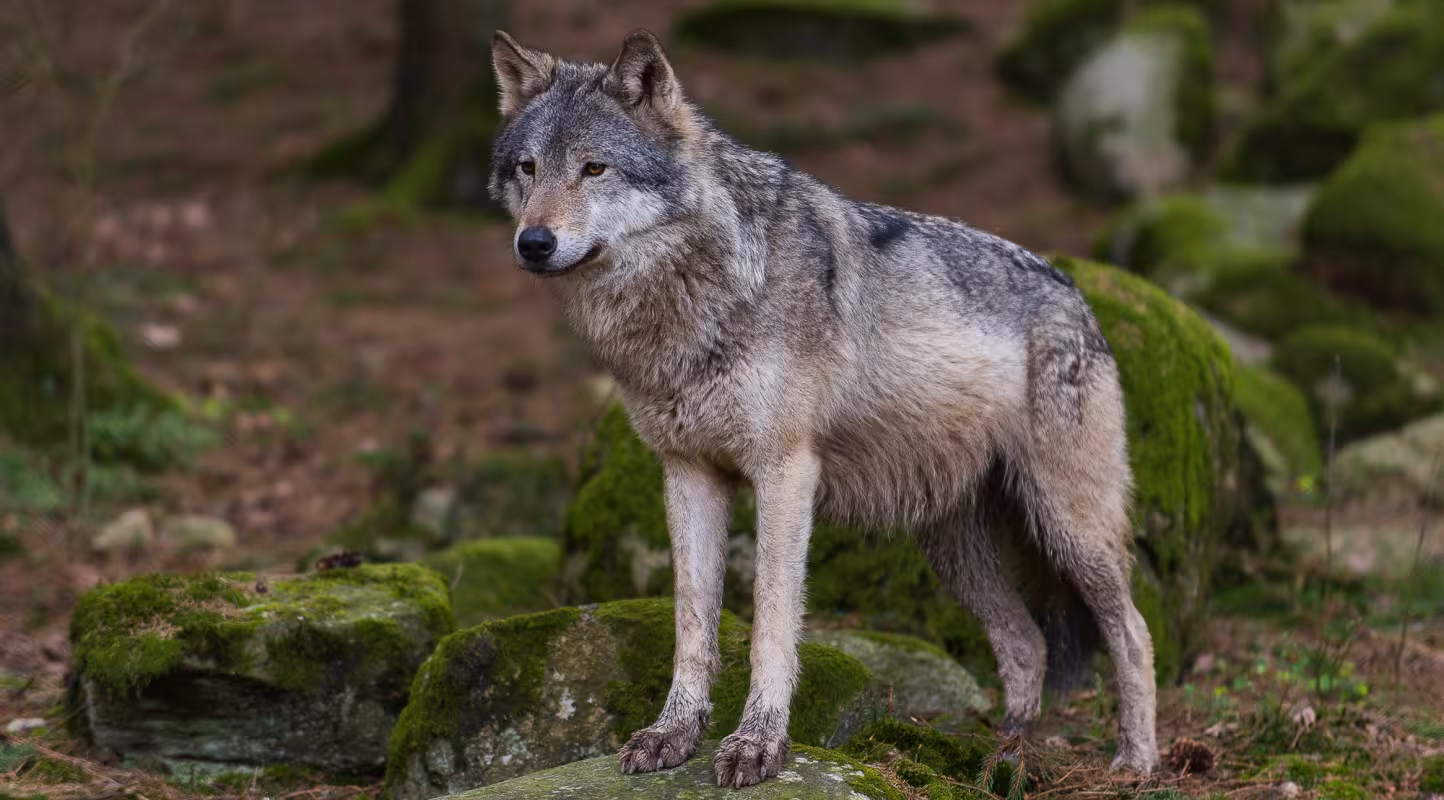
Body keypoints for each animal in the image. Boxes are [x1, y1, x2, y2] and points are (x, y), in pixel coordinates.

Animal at [487, 29, 1159, 788]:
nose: (533, 242)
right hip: (955, 551)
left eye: (594, 168)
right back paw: (1001, 761)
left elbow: (771, 624)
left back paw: (1135, 762)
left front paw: (757, 746)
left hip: (1069, 526)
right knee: (1027, 645)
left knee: (1133, 632)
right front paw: (673, 735)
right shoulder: (688, 473)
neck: (701, 293)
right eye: (528, 168)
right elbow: (692, 625)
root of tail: (1078, 295)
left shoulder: (785, 472)